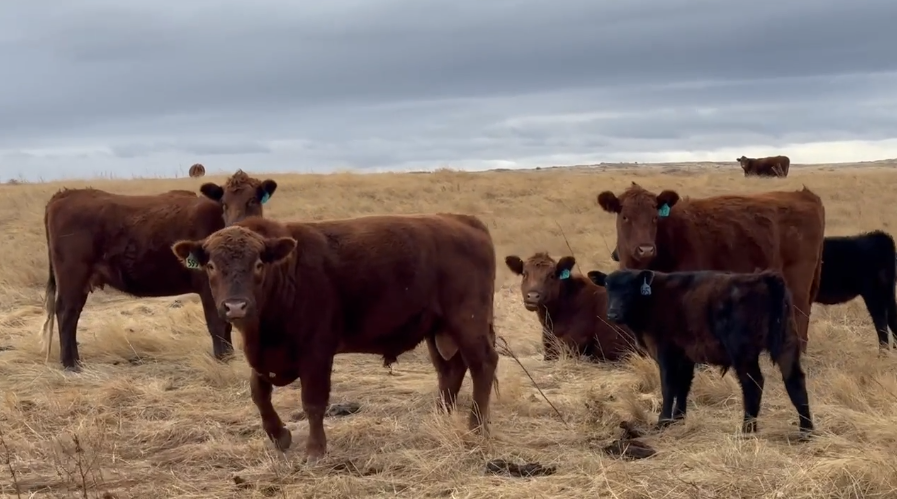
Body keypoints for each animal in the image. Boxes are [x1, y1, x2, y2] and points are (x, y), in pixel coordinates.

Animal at [39, 171, 277, 371]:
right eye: (224, 204)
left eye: (252, 200)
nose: (236, 225)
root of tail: (65, 194)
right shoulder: (209, 289)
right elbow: (218, 325)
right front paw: (224, 360)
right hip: (72, 278)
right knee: (66, 314)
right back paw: (70, 364)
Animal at [169, 214, 500, 463]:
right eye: (212, 265)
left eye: (258, 264)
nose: (236, 306)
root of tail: (463, 221)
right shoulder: (263, 357)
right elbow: (259, 394)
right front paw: (280, 436)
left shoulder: (316, 353)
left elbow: (313, 402)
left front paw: (315, 451)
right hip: (437, 331)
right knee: (450, 371)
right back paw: (440, 417)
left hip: (467, 324)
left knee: (483, 365)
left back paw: (476, 426)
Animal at [588, 268, 813, 438]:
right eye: (608, 286)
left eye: (630, 289)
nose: (613, 313)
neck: (653, 298)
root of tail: (766, 278)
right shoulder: (686, 357)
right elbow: (683, 387)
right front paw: (679, 418)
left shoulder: (666, 354)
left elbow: (668, 387)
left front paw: (663, 421)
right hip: (787, 344)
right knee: (795, 380)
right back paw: (806, 430)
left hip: (743, 353)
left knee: (753, 383)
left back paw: (747, 429)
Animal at [596, 182, 825, 353]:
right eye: (625, 217)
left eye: (655, 218)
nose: (645, 249)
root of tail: (805, 196)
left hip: (798, 282)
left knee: (800, 314)